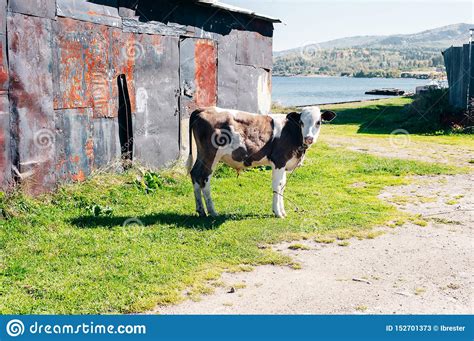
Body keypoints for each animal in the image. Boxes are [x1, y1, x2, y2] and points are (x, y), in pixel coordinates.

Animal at [186, 106, 336, 218]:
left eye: (318, 122)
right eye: (301, 122)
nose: (309, 138)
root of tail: (203, 109)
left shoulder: (285, 163)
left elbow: (283, 185)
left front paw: (282, 211)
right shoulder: (279, 161)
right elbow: (277, 186)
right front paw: (278, 213)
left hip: (202, 155)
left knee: (195, 174)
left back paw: (201, 210)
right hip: (211, 155)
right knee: (204, 179)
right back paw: (212, 211)